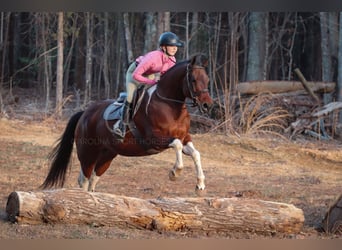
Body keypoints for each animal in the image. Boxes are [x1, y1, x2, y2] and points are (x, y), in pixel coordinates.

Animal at [41, 53, 212, 192]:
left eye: (207, 80)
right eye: (193, 80)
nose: (207, 105)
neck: (170, 105)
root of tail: (85, 113)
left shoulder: (185, 138)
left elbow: (195, 153)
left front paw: (200, 185)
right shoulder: (155, 138)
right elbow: (176, 145)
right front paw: (175, 173)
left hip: (108, 154)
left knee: (94, 178)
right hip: (87, 152)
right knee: (84, 178)